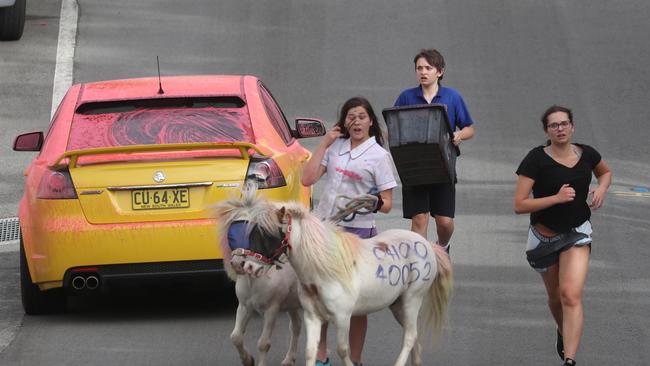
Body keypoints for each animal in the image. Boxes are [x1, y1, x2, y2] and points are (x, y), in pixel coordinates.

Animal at [214, 192, 302, 366]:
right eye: (232, 232)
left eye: (259, 234)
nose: (238, 263)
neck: (254, 281)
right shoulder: (244, 306)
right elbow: (236, 337)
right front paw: (248, 360)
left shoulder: (272, 310)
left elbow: (263, 343)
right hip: (293, 304)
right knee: (296, 327)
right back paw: (289, 359)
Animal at [227, 193, 450, 364]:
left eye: (268, 234)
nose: (248, 266)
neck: (324, 270)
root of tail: (427, 244)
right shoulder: (312, 317)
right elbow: (311, 351)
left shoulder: (343, 317)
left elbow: (343, 350)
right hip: (397, 305)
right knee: (414, 336)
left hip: (413, 299)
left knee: (409, 337)